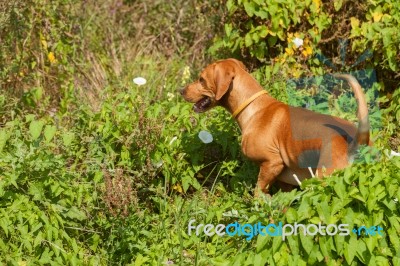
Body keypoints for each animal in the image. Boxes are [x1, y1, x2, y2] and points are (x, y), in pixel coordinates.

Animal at [180, 58, 370, 195]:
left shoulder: (272, 163)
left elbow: (259, 193)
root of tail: (355, 142)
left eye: (201, 79)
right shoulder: (285, 181)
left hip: (324, 180)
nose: (180, 90)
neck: (254, 108)